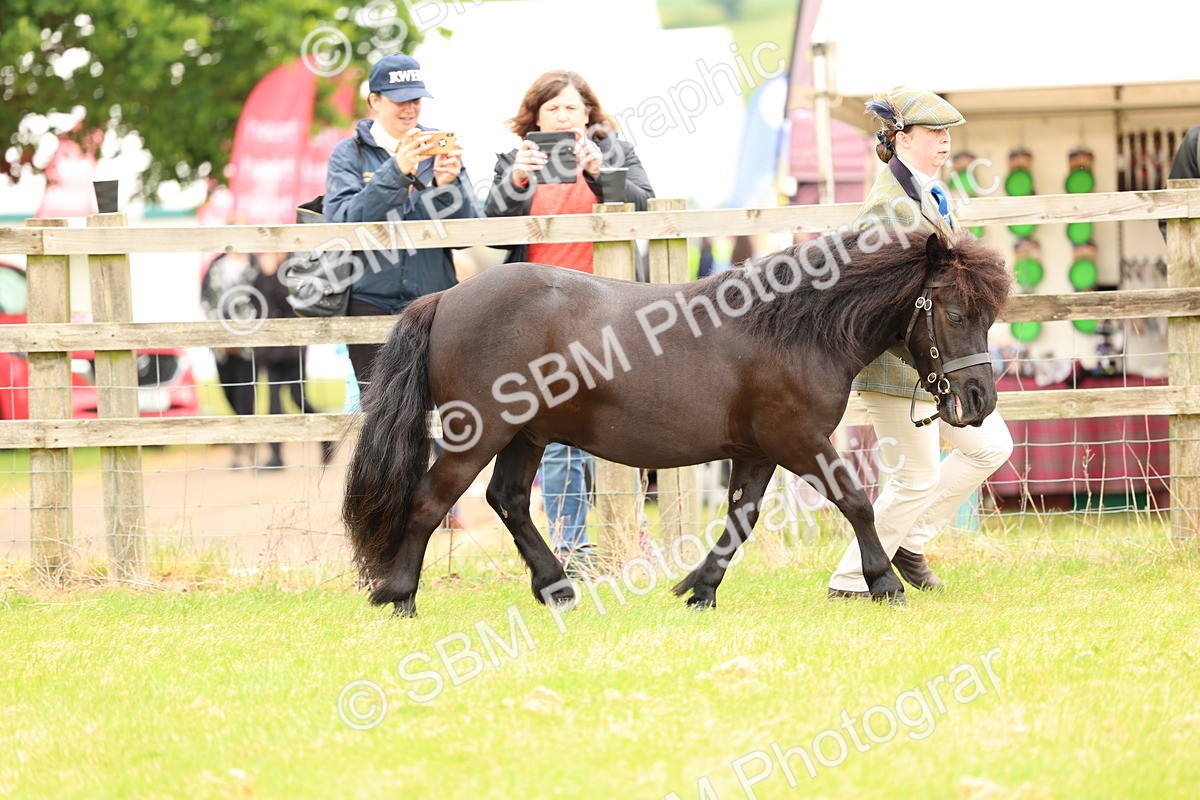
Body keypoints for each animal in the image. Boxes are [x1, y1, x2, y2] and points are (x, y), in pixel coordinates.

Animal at [342, 228, 1010, 616]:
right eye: (955, 313)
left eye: (990, 315)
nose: (979, 399)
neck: (793, 328)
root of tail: (448, 299)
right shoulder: (799, 440)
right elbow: (857, 502)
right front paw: (885, 583)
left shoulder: (758, 451)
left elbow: (741, 519)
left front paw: (700, 587)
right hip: (478, 432)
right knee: (431, 501)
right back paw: (399, 596)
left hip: (527, 435)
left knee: (507, 500)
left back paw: (556, 588)